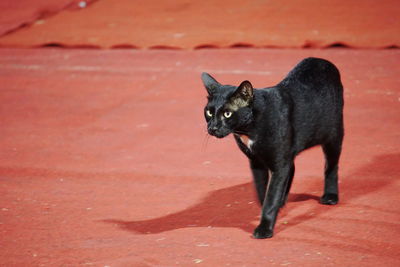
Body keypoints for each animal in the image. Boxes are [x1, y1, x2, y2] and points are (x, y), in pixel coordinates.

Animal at [203, 57, 344, 240]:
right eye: (209, 112)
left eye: (227, 114)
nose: (212, 128)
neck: (250, 129)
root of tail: (322, 60)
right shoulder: (256, 162)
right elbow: (262, 190)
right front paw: (271, 209)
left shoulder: (279, 162)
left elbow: (271, 196)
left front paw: (264, 229)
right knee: (293, 168)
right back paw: (283, 201)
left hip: (333, 136)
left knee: (331, 166)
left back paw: (330, 196)